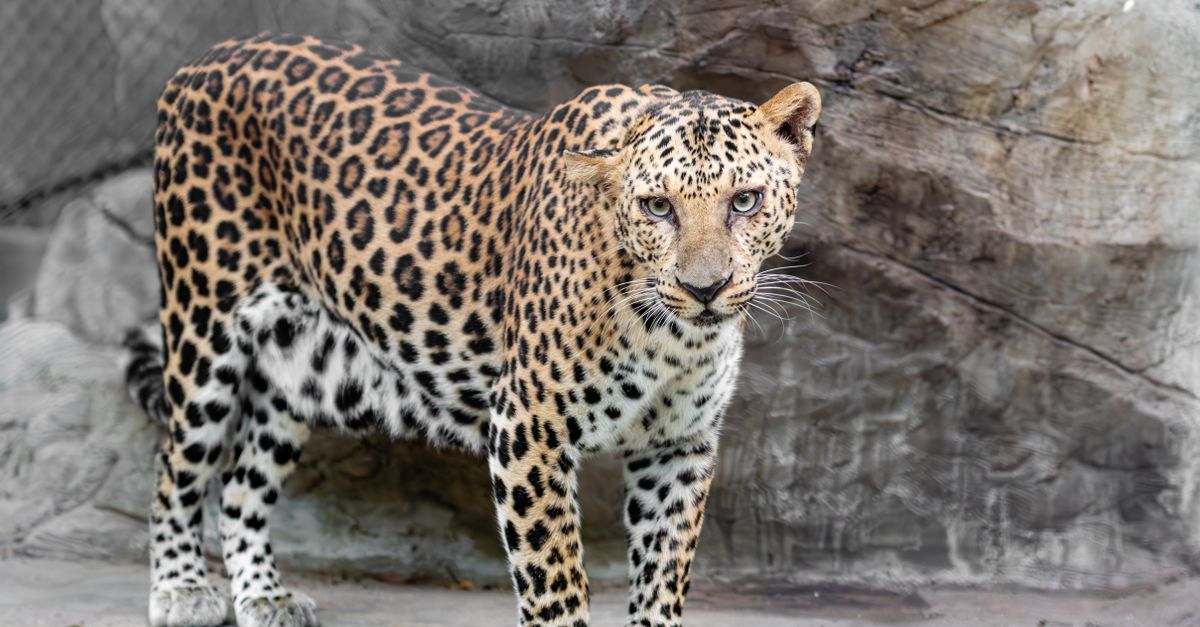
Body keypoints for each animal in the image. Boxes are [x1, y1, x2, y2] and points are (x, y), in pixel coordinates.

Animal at [124, 32, 820, 627]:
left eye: (746, 201)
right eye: (657, 207)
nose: (705, 289)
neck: (673, 340)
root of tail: (204, 59)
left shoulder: (680, 445)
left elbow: (661, 581)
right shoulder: (528, 428)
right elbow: (554, 583)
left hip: (306, 368)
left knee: (241, 483)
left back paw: (265, 597)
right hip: (204, 327)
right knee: (177, 468)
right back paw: (183, 589)